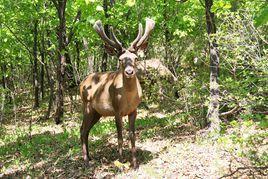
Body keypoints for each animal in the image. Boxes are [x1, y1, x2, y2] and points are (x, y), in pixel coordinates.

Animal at [79, 18, 155, 169]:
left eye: (136, 58)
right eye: (120, 59)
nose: (129, 72)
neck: (128, 98)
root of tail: (81, 83)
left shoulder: (134, 110)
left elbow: (132, 135)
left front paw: (135, 163)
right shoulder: (116, 110)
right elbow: (119, 136)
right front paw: (120, 162)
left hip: (97, 113)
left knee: (85, 130)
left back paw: (89, 156)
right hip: (87, 106)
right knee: (83, 130)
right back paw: (86, 161)